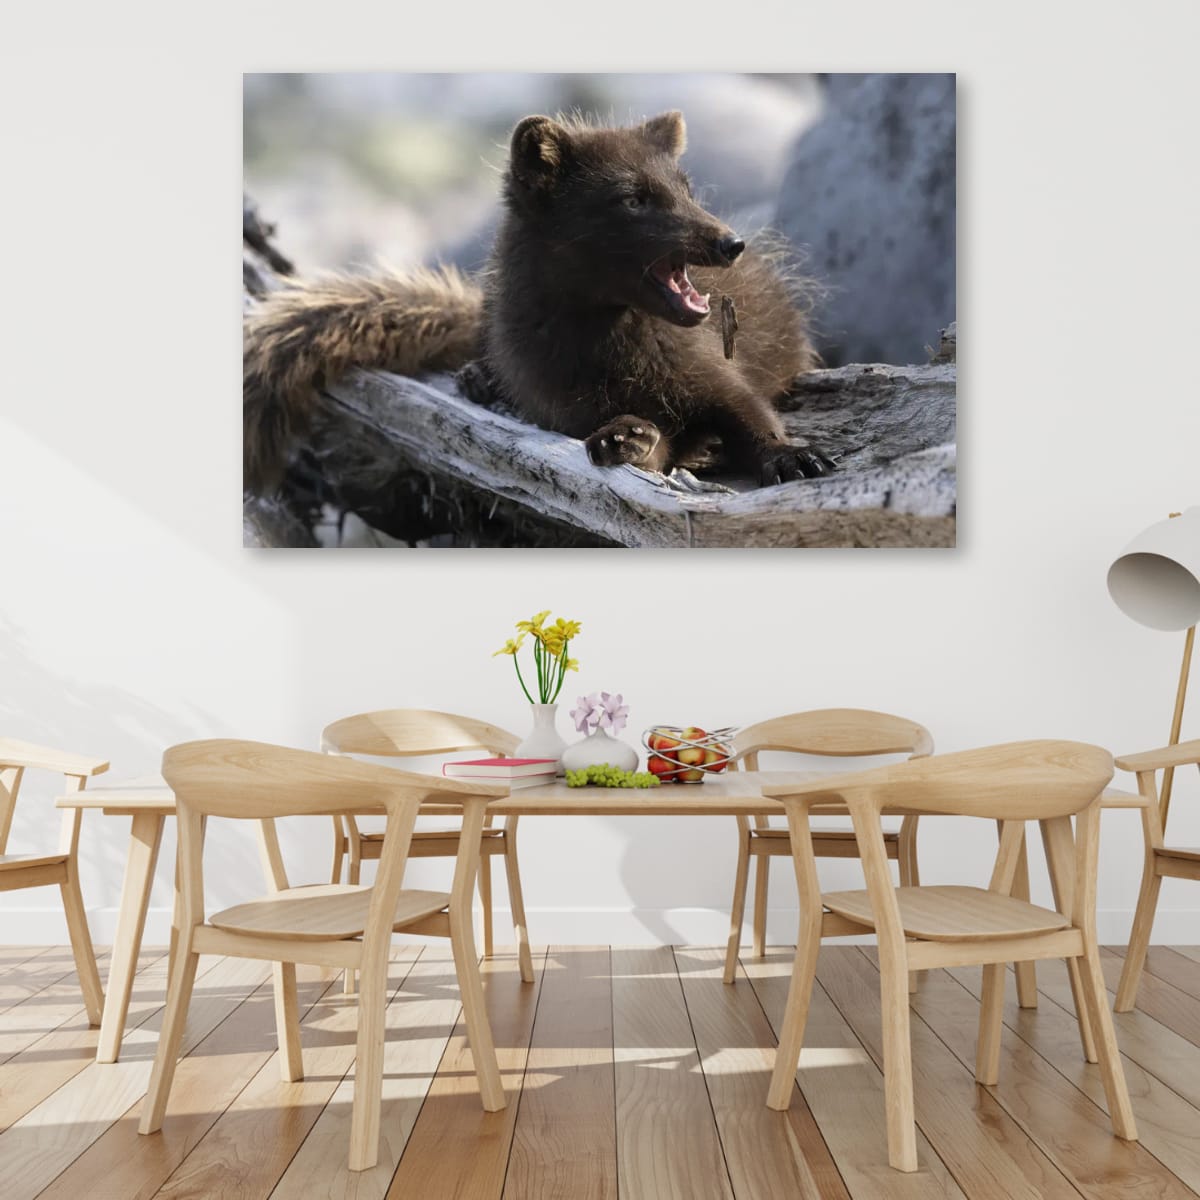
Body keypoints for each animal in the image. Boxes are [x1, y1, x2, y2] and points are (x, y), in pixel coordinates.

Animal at [243, 109, 833, 494]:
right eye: (633, 198)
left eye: (688, 189)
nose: (730, 242)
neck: (617, 359)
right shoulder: (567, 409)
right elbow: (658, 451)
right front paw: (629, 437)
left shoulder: (714, 372)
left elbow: (750, 412)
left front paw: (794, 457)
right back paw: (478, 380)